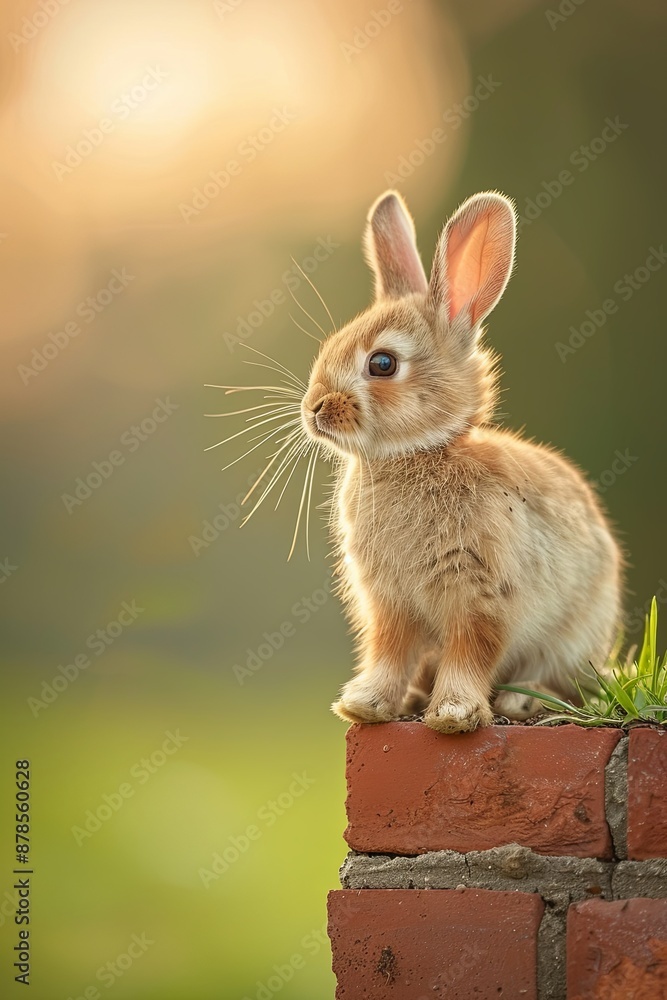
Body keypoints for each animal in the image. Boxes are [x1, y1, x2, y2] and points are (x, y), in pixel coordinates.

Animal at [298, 189, 623, 733]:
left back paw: (522, 702)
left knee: (566, 684)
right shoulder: (390, 604)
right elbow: (388, 654)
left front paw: (453, 714)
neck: (417, 453)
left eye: (382, 363)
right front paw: (365, 705)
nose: (315, 408)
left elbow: (471, 653)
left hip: (575, 637)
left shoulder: (483, 592)